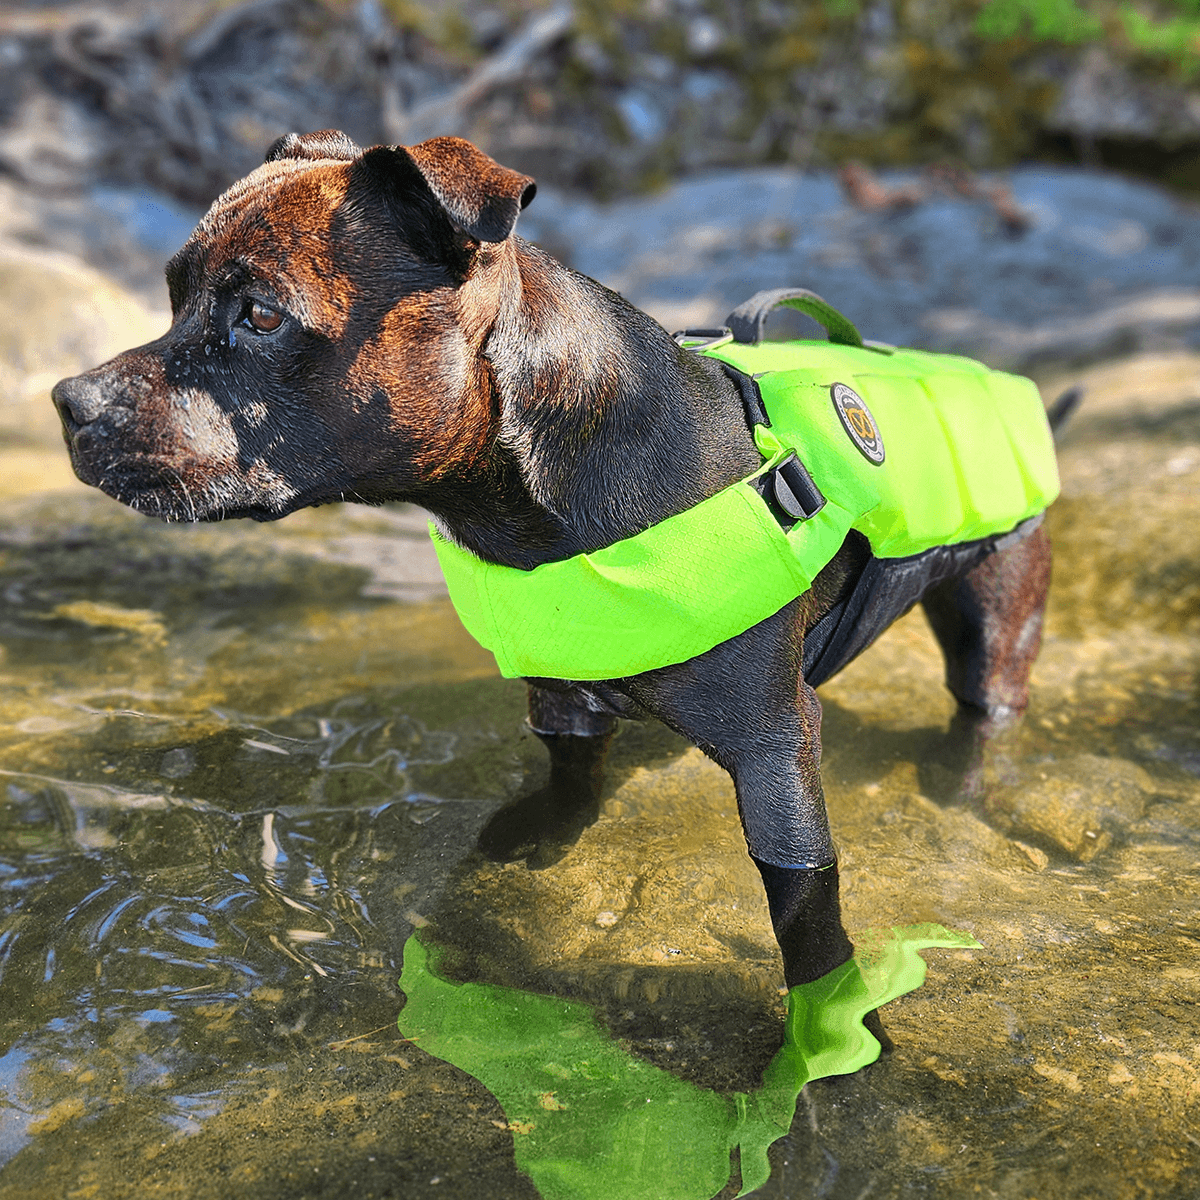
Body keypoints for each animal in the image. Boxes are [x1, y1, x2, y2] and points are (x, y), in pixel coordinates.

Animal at [54, 129, 1051, 993]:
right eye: (174, 296)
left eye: (260, 315)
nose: (70, 401)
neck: (541, 502)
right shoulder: (563, 704)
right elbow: (563, 795)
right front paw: (525, 846)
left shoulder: (777, 753)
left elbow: (805, 914)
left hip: (999, 622)